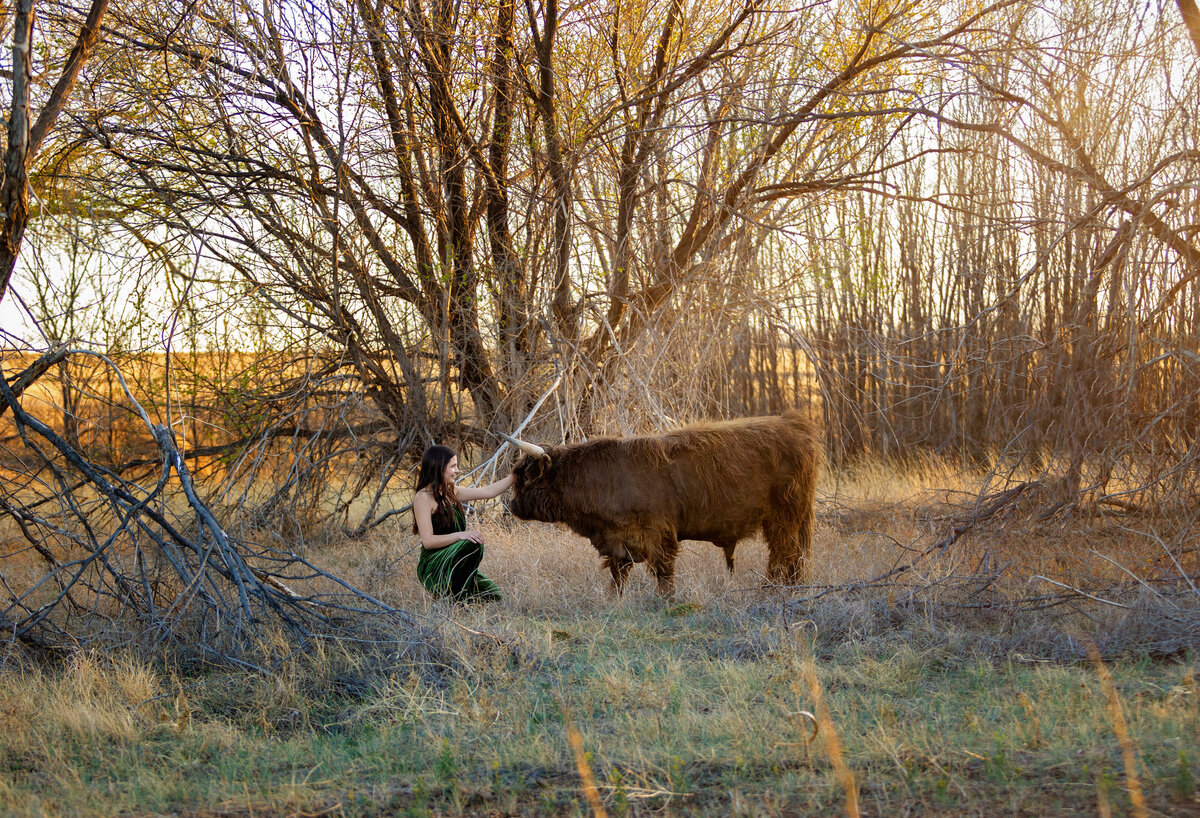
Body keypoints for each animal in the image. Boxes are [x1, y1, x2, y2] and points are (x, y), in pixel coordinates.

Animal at [501, 407, 820, 592]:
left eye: (524, 478)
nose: (512, 506)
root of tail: (793, 423)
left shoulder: (659, 536)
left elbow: (664, 575)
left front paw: (667, 602)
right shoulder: (618, 543)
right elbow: (617, 576)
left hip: (784, 516)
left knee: (784, 554)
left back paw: (773, 587)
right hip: (792, 518)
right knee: (795, 555)